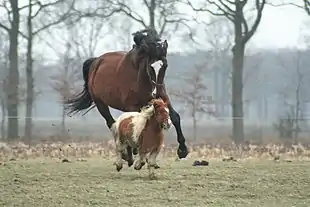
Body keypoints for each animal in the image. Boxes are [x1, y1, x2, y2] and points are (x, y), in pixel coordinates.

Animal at [64, 28, 188, 167]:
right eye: (150, 66)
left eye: (165, 65)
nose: (155, 92)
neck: (140, 78)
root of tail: (96, 62)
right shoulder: (131, 106)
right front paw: (134, 152)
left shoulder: (163, 101)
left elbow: (175, 117)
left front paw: (183, 150)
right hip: (101, 103)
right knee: (112, 124)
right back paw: (126, 155)